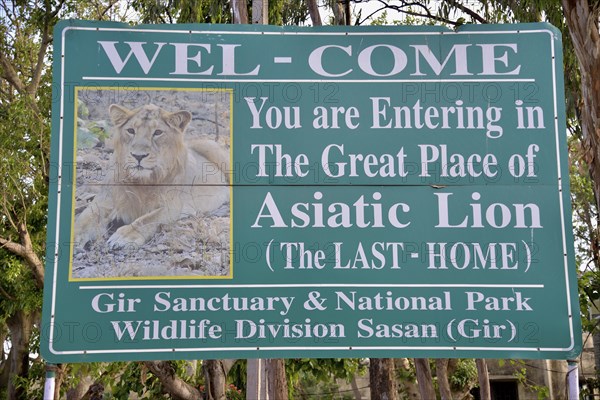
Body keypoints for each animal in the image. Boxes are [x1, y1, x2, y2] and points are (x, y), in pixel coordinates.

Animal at [75, 104, 230, 252]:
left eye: (158, 132)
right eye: (131, 130)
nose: (138, 156)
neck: (141, 182)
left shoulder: (172, 205)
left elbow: (148, 219)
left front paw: (124, 236)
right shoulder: (104, 201)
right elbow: (85, 219)